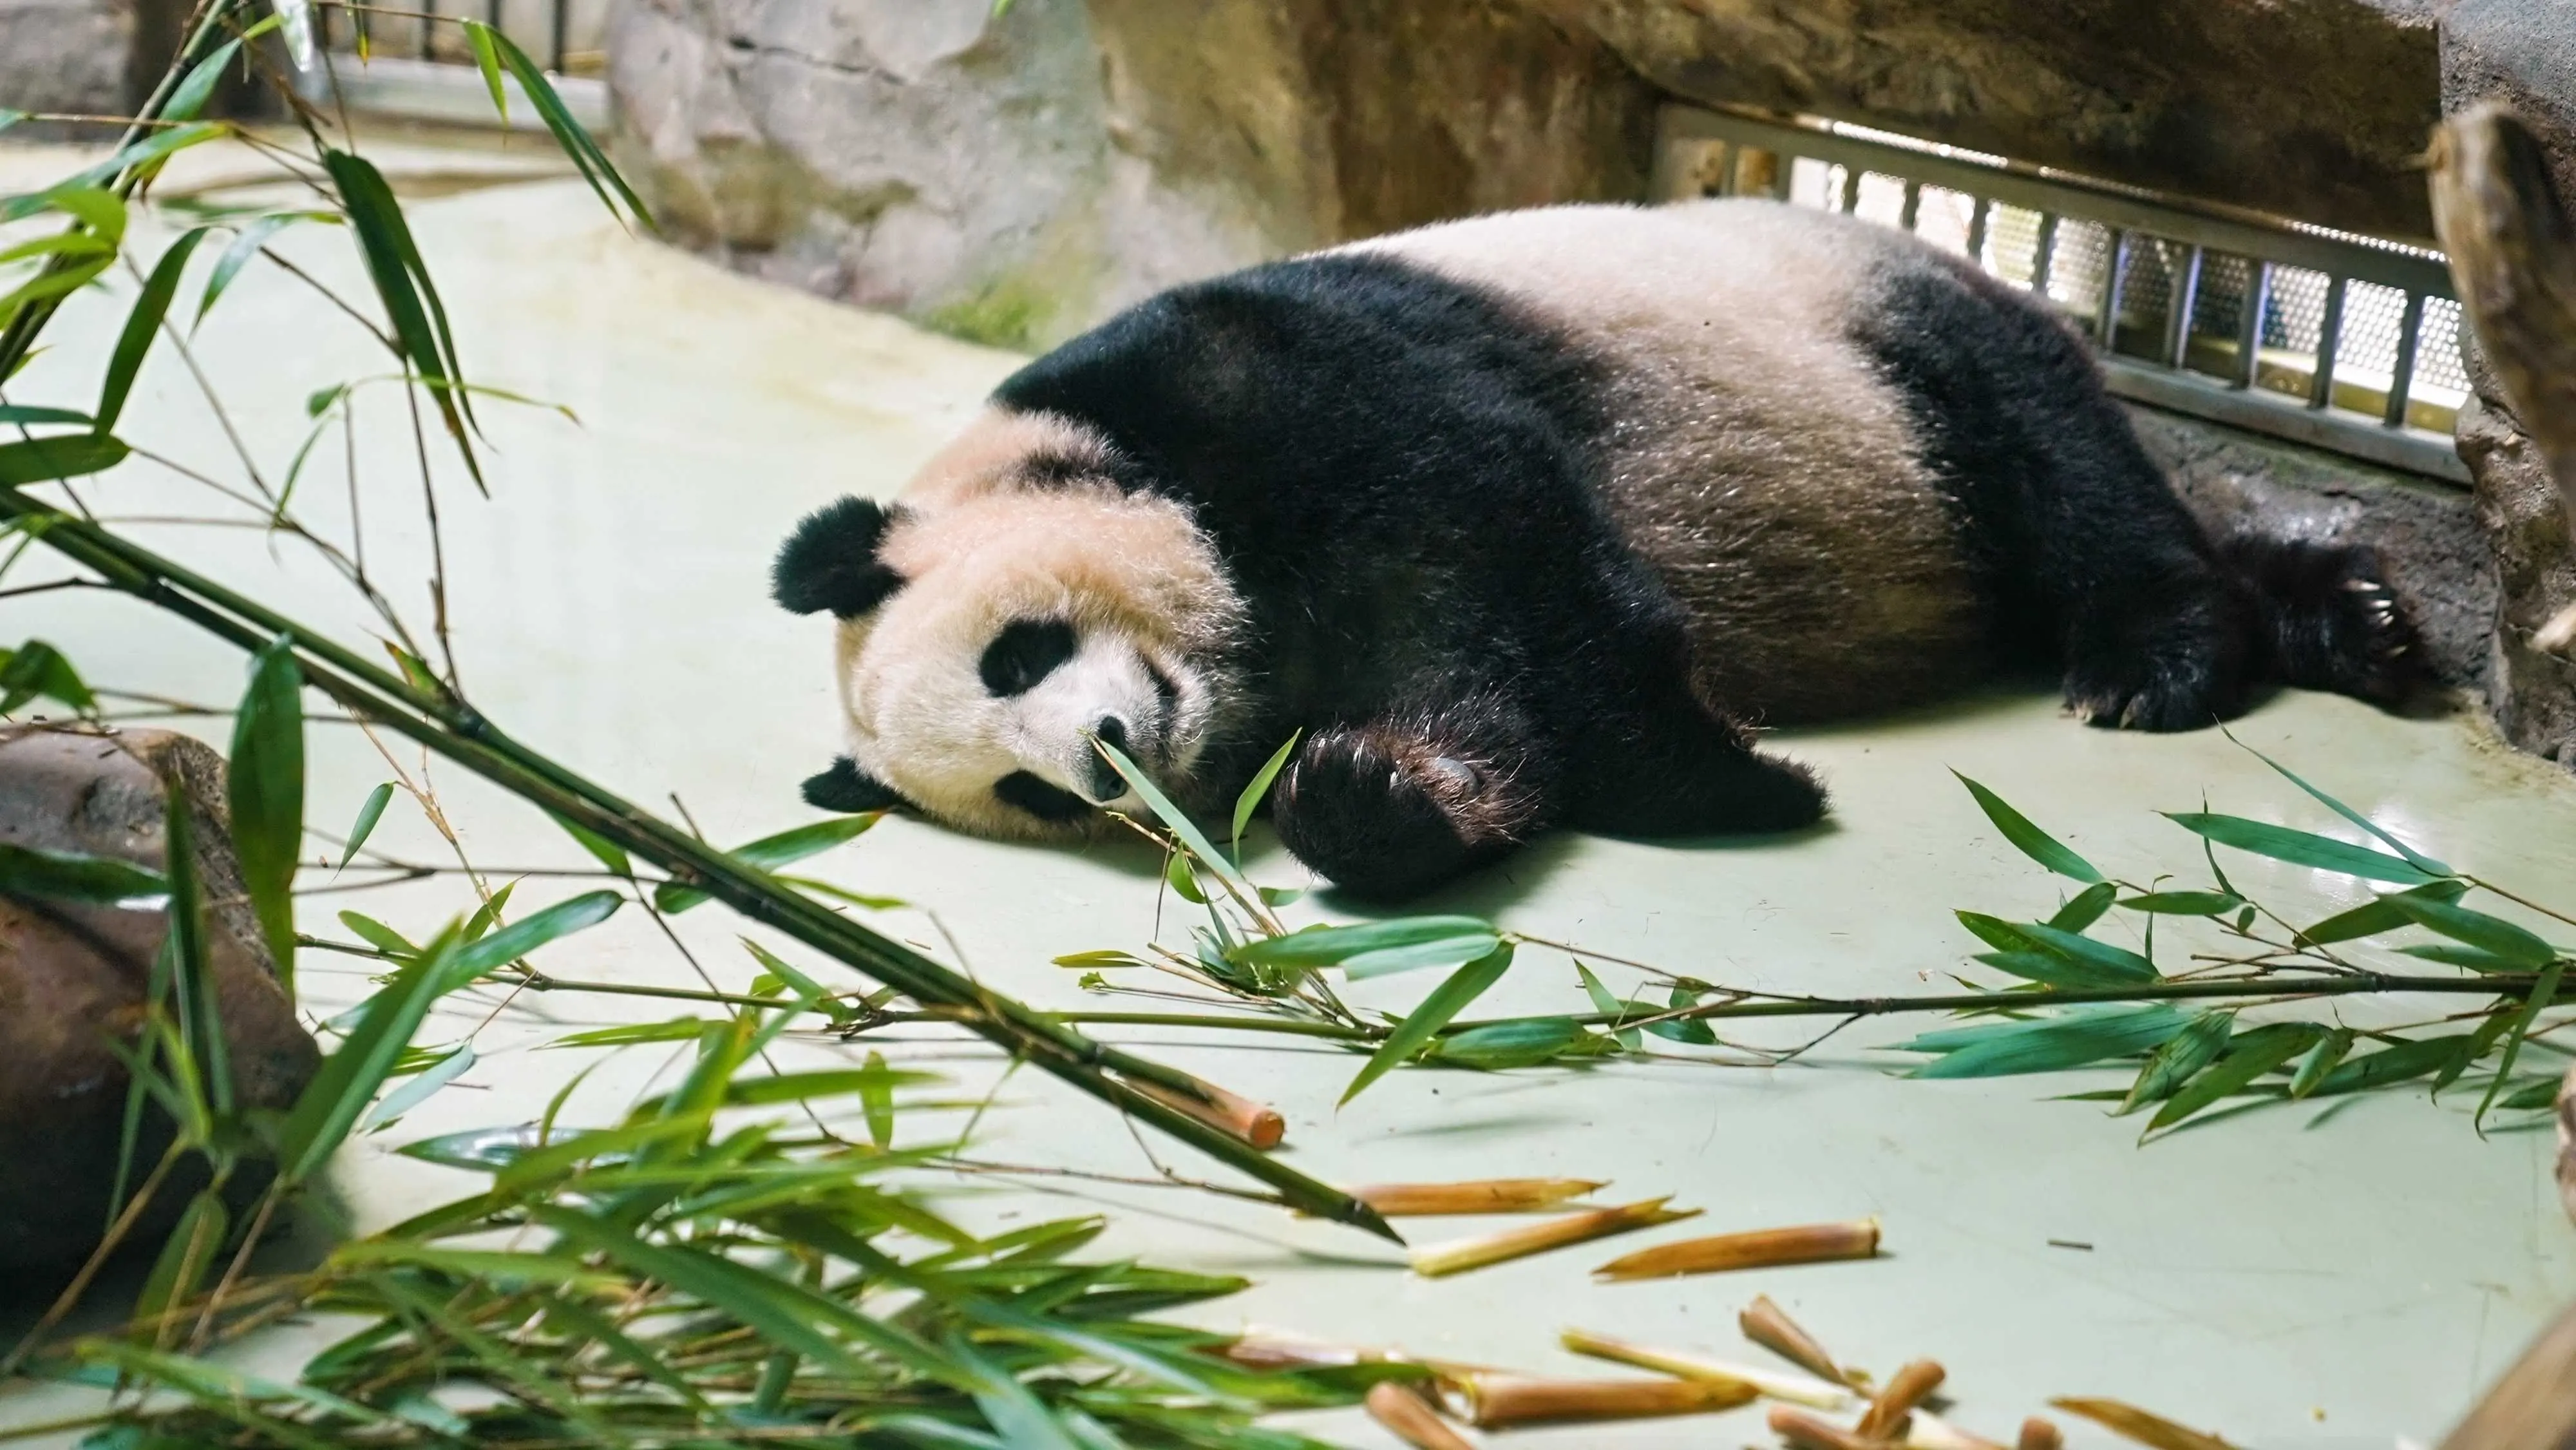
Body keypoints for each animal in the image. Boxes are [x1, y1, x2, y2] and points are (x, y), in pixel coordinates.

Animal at [772, 198, 2423, 902]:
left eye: (1018, 652)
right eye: (1025, 793)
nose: (1107, 756)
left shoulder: (1271, 381)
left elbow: (1509, 566)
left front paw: (1720, 782)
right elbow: (1465, 686)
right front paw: (1385, 798)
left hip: (1883, 338)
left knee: (2062, 466)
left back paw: (2167, 653)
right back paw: (2348, 619)